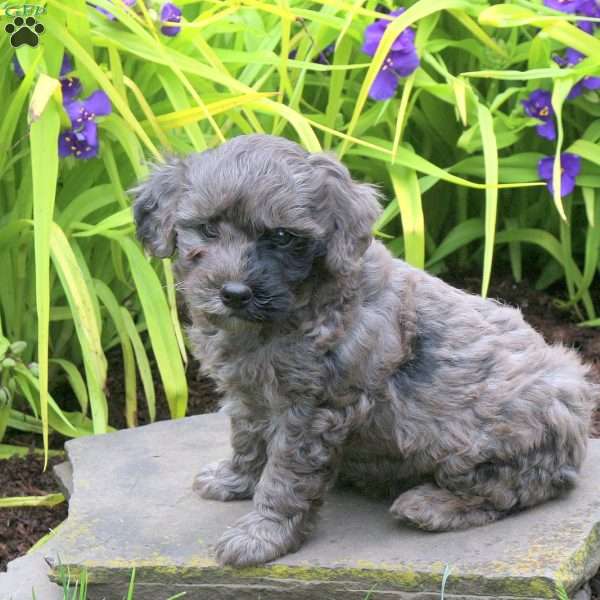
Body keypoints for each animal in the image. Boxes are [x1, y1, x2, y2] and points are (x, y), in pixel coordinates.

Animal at [131, 135, 596, 568]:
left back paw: (429, 505)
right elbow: (247, 439)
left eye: (281, 237)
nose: (233, 293)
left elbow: (285, 476)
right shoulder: (250, 394)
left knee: (517, 488)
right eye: (208, 229)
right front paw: (234, 480)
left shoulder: (311, 411)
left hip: (479, 435)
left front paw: (261, 536)